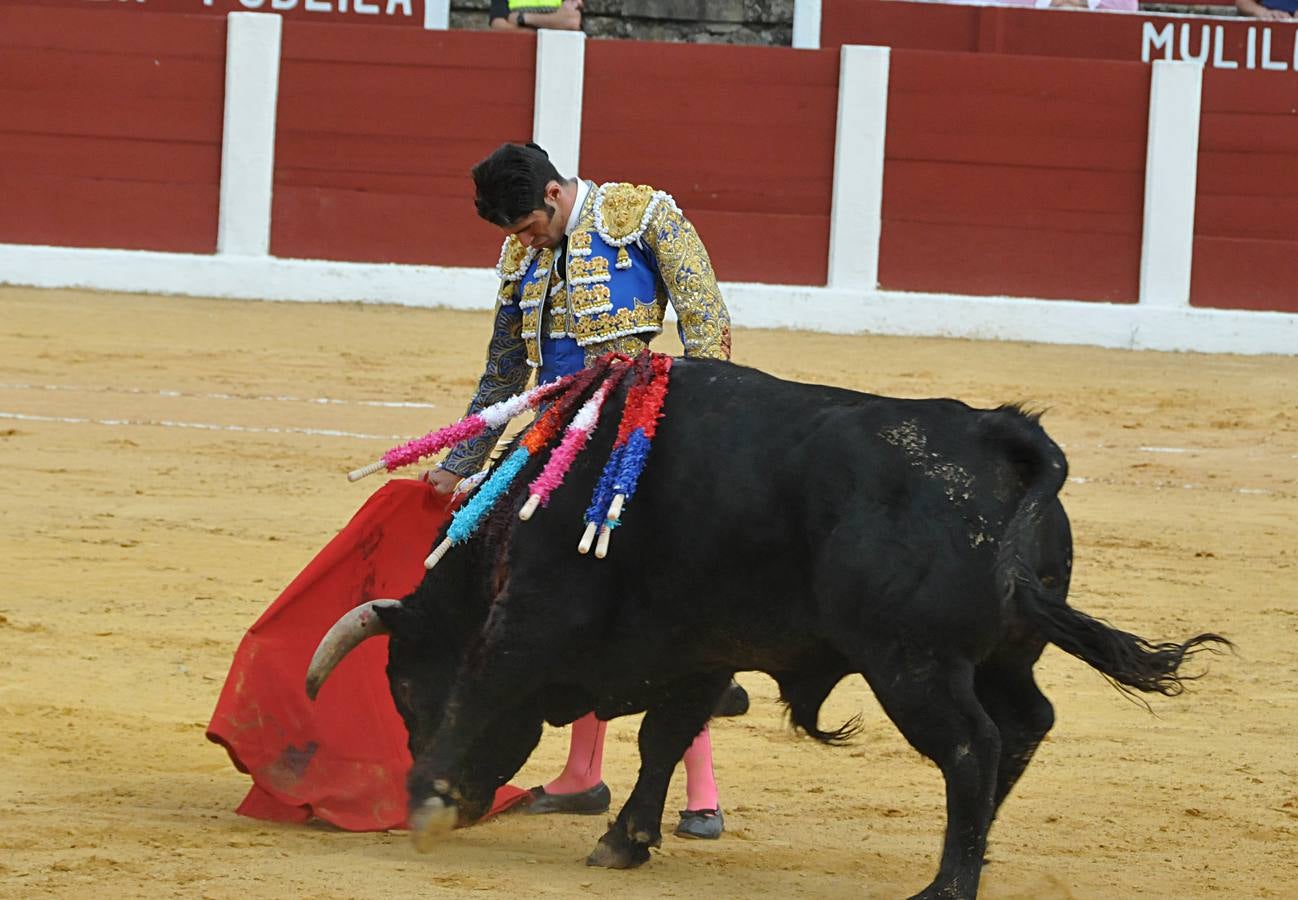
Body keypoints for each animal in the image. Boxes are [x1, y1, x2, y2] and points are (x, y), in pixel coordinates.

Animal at [303, 361, 1225, 898]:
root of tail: (998, 433)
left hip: (913, 664)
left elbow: (486, 685)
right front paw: (625, 841)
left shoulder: (530, 619)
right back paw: (975, 854)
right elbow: (665, 738)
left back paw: (946, 885)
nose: (459, 803)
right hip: (1003, 654)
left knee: (973, 746)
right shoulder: (700, 650)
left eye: (405, 686)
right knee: (1027, 723)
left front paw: (427, 800)